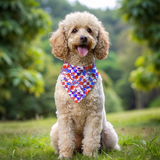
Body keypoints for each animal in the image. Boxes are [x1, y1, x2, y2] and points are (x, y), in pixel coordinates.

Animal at [49, 11, 119, 159]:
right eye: (74, 30)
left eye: (89, 30)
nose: (84, 38)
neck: (79, 69)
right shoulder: (64, 115)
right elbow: (65, 138)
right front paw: (65, 155)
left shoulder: (94, 114)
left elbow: (91, 139)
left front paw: (90, 155)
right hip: (55, 130)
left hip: (108, 132)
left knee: (111, 145)